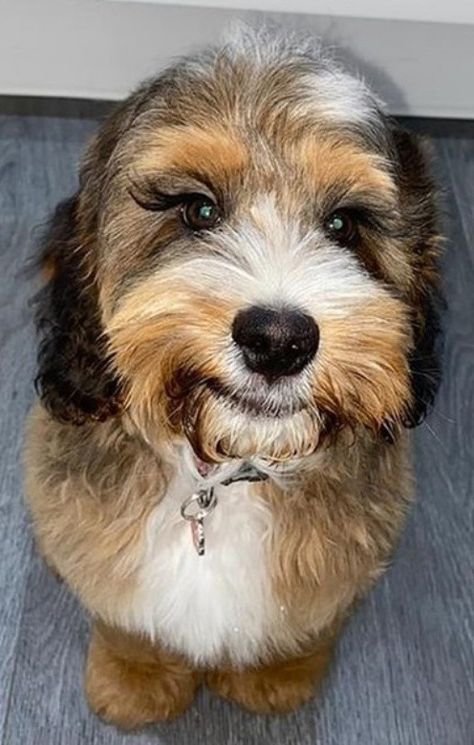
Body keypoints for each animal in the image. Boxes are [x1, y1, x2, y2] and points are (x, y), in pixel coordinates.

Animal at [25, 27, 440, 728]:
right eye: (197, 210)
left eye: (342, 224)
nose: (278, 341)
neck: (222, 479)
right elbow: (126, 621)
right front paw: (135, 676)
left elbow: (304, 626)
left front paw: (275, 674)